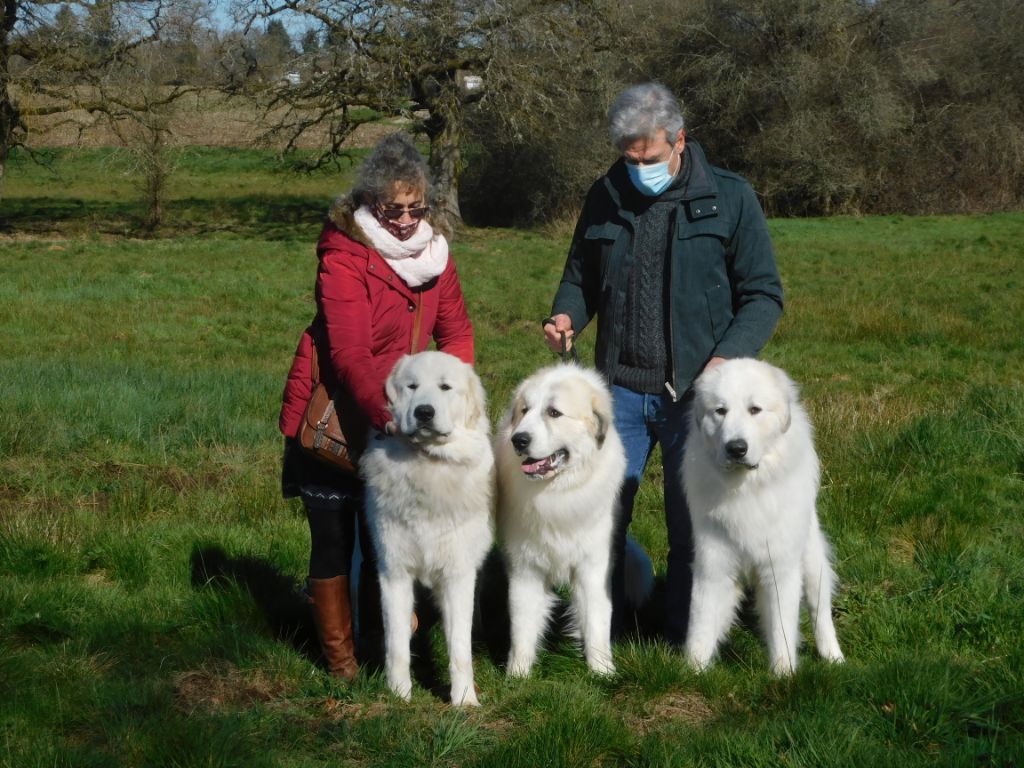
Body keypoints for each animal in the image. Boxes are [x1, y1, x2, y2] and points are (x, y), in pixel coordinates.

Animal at [360, 352, 495, 708]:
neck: (428, 466)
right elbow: (396, 643)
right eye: (412, 387)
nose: (424, 412)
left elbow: (459, 647)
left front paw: (464, 700)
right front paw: (397, 694)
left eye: (445, 387)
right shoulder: (393, 573)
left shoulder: (458, 574)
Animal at [493, 364, 626, 675]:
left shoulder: (593, 567)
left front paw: (602, 671)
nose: (519, 440)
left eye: (554, 412)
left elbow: (597, 620)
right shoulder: (525, 568)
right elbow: (522, 626)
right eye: (524, 410)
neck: (557, 494)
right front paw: (517, 675)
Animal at [684, 358, 843, 675]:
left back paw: (833, 656)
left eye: (754, 410)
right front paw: (691, 671)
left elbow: (782, 626)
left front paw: (784, 674)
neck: (746, 487)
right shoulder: (713, 564)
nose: (736, 448)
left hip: (811, 563)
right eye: (720, 411)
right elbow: (701, 621)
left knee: (821, 612)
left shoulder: (779, 568)